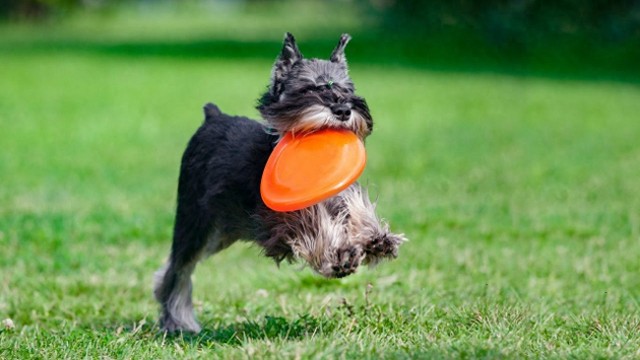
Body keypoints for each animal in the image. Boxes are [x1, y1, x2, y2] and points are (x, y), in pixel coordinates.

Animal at [154, 33, 404, 332]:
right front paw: (340, 254)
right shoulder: (279, 220)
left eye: (346, 89)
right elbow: (313, 225)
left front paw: (377, 238)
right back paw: (177, 322)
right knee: (178, 268)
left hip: (220, 234)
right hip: (194, 223)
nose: (343, 109)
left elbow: (356, 207)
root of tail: (212, 115)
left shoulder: (339, 194)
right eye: (308, 89)